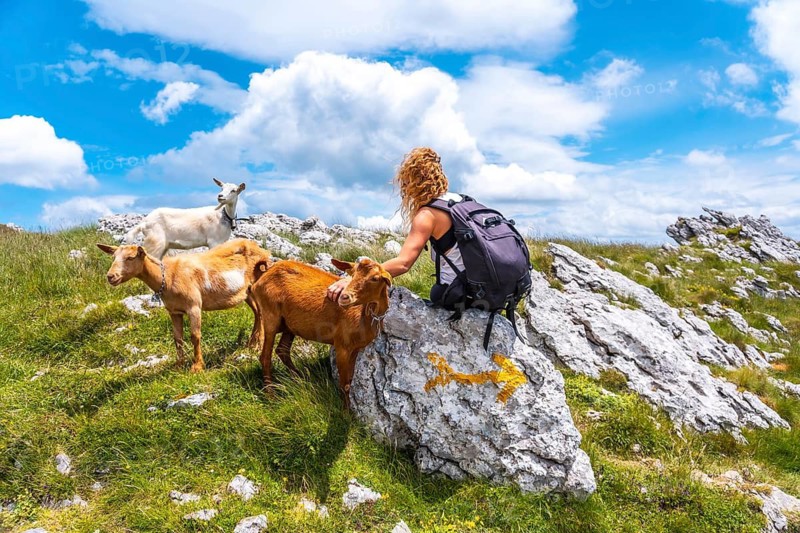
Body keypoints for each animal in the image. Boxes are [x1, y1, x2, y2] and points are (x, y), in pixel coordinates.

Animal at [97, 239, 271, 372]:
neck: (168, 276)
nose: (111, 276)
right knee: (257, 312)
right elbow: (178, 338)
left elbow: (195, 336)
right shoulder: (174, 311)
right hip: (247, 292)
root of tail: (263, 250)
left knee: (261, 312)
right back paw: (252, 343)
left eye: (130, 257)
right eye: (113, 257)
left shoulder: (194, 306)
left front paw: (197, 367)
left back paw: (258, 344)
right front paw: (179, 365)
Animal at [249, 257, 391, 407]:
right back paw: (271, 395)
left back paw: (301, 378)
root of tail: (265, 272)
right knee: (265, 357)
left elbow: (349, 381)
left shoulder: (356, 348)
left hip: (289, 325)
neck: (362, 315)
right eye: (351, 274)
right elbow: (344, 384)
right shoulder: (342, 346)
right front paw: (345, 411)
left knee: (282, 350)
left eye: (375, 278)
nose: (345, 297)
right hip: (270, 316)